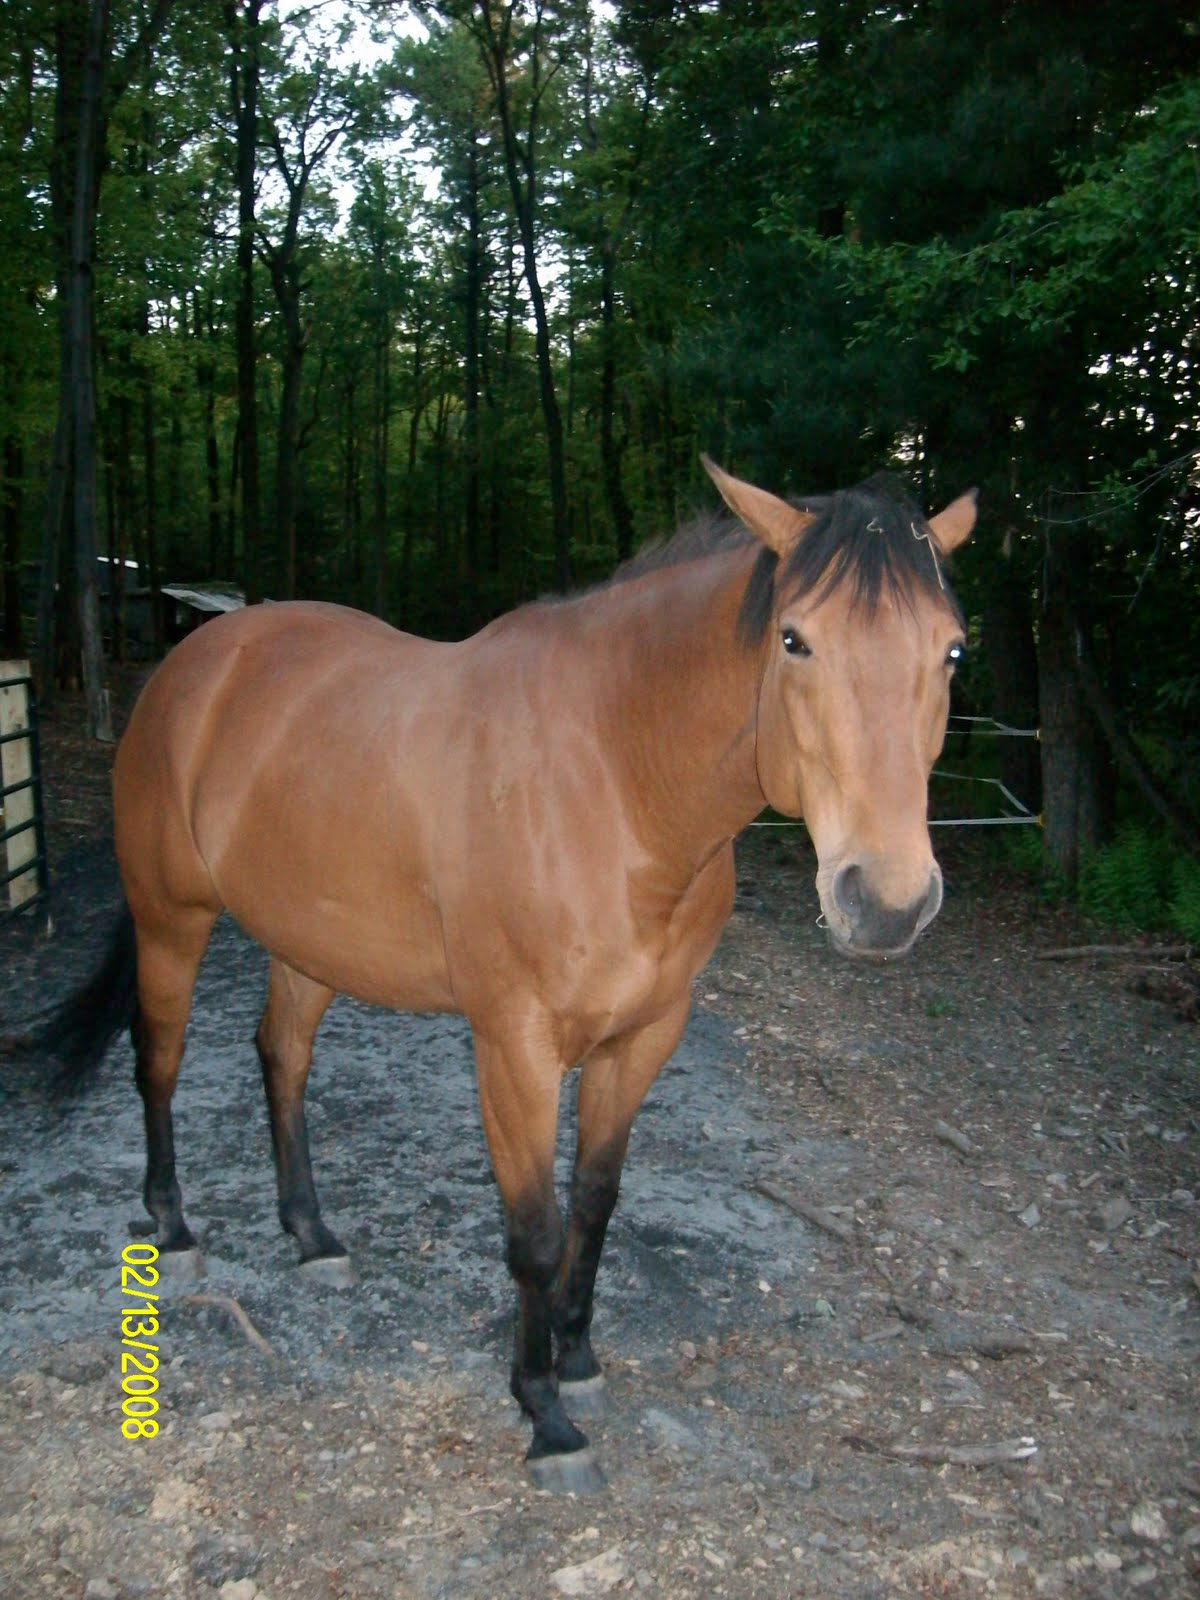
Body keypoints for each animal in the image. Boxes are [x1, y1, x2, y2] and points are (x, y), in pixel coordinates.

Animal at [41, 458, 974, 1492]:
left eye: (952, 652)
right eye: (795, 639)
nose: (886, 901)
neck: (615, 780)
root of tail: (196, 660)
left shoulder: (645, 1036)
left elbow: (595, 1205)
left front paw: (579, 1356)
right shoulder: (515, 1048)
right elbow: (534, 1230)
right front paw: (544, 1414)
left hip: (309, 942)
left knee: (281, 1057)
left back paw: (313, 1236)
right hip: (173, 920)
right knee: (159, 1058)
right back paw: (173, 1229)